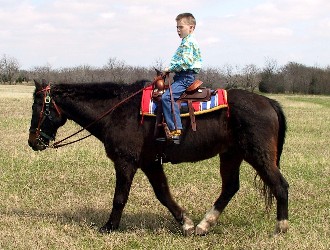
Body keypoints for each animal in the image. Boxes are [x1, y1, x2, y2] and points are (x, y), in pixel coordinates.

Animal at [28, 79, 288, 235]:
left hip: (258, 155)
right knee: (230, 188)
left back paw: (281, 227)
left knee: (280, 185)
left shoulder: (126, 162)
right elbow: (163, 193)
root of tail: (268, 102)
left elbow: (119, 197)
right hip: (231, 155)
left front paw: (109, 226)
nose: (33, 141)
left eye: (38, 107)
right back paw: (203, 225)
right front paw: (186, 223)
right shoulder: (150, 163)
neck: (117, 110)